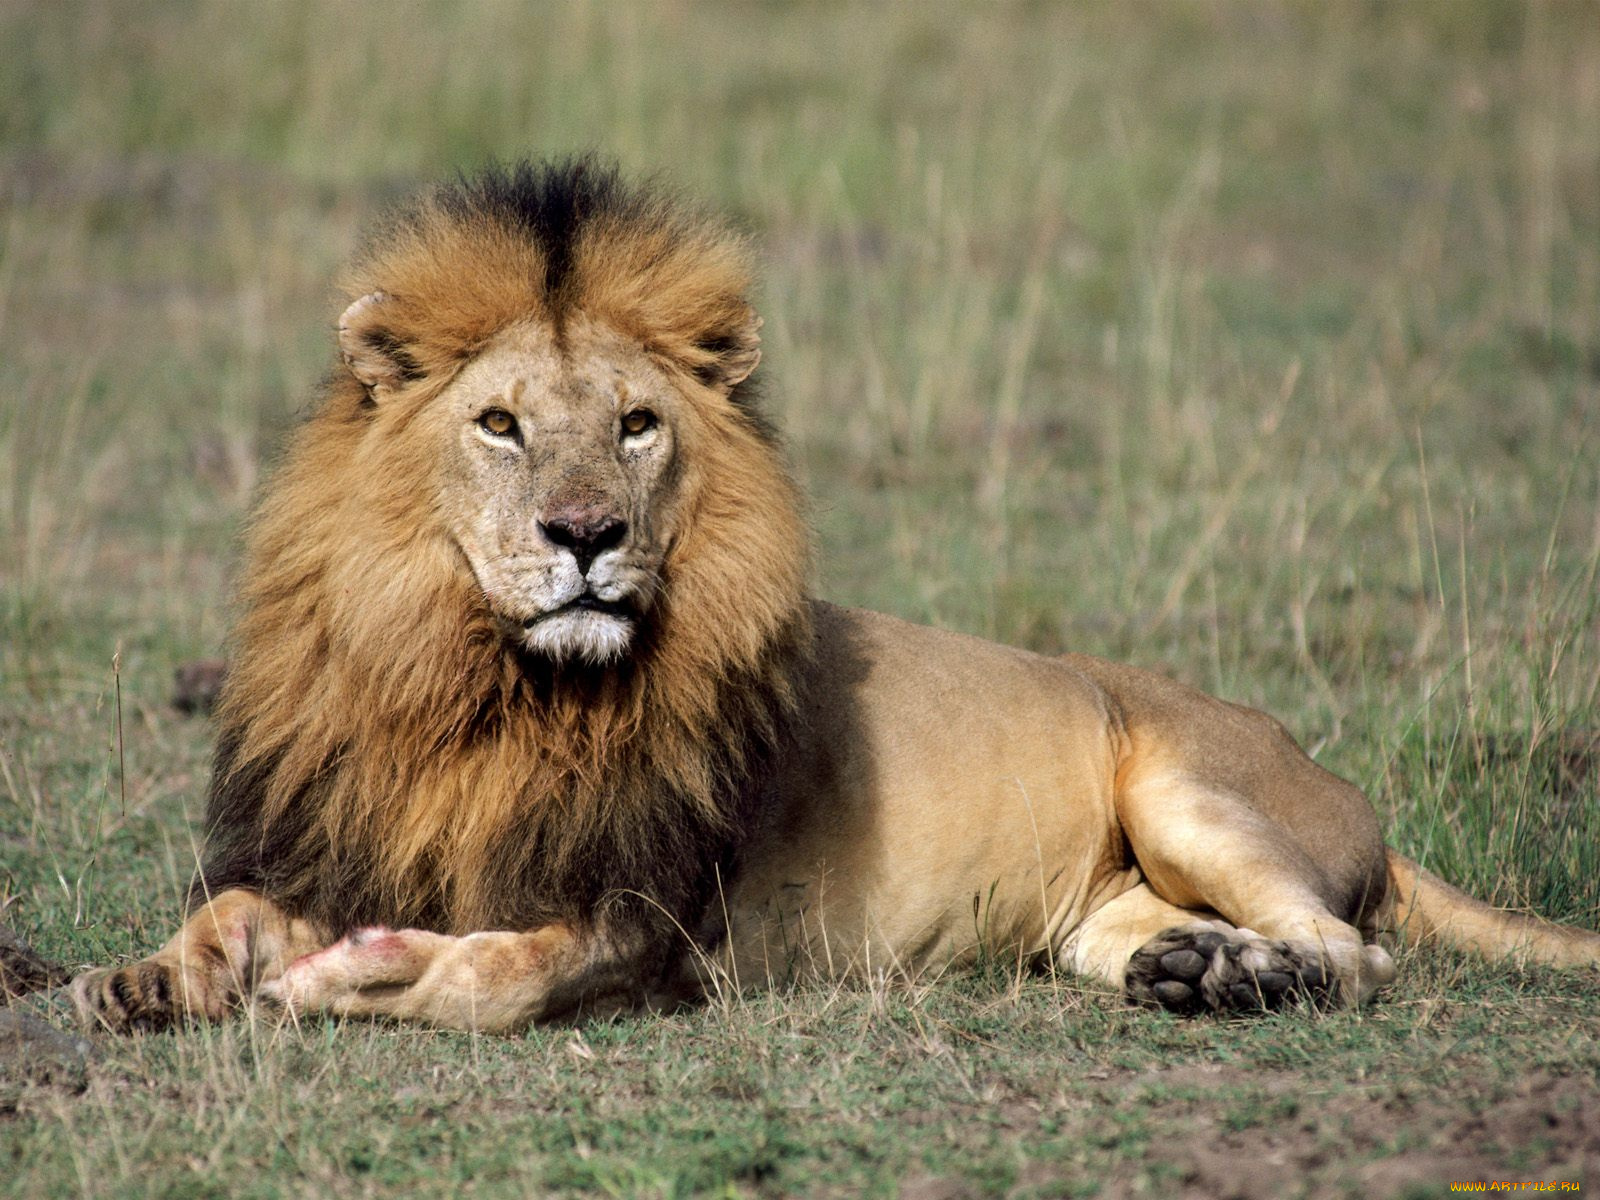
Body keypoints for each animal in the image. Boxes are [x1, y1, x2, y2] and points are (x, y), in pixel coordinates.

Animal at [72, 159, 1600, 1034]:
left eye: (636, 424)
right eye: (500, 425)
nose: (587, 534)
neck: (483, 688)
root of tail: (1346, 791)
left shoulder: (649, 923)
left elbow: (487, 980)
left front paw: (361, 979)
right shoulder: (344, 832)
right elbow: (223, 918)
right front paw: (138, 979)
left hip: (1190, 787)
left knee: (1356, 951)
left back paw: (1253, 980)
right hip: (1100, 908)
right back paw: (1197, 972)